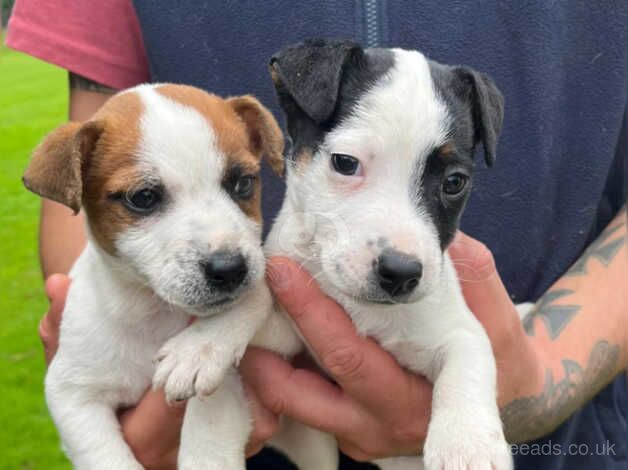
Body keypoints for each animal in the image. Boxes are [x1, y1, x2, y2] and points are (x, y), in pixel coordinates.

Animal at [22, 84, 282, 470]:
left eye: (243, 183)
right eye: (143, 197)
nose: (229, 269)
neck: (151, 311)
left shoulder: (227, 389)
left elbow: (207, 445)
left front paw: (201, 346)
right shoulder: (72, 392)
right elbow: (106, 458)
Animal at [260, 40, 510, 470]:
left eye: (454, 182)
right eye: (345, 163)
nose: (401, 273)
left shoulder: (456, 328)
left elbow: (467, 361)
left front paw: (467, 445)